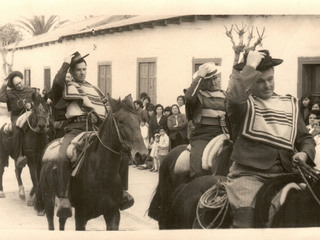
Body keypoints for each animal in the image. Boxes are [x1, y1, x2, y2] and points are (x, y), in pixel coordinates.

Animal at [35, 94, 149, 231]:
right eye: (121, 121)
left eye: (138, 121)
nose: (141, 154)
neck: (101, 172)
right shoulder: (81, 216)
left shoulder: (113, 214)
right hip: (48, 199)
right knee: (51, 223)